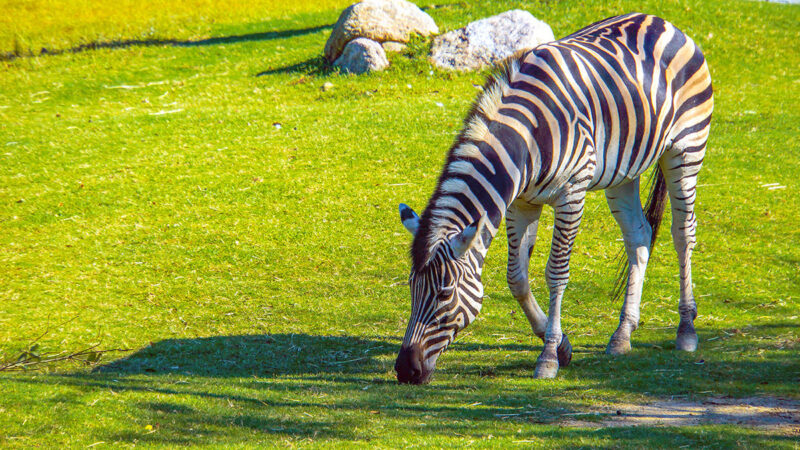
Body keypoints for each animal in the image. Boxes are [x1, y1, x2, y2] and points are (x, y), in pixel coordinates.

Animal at [394, 13, 712, 384]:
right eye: (411, 287)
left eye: (444, 294)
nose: (405, 370)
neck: (526, 139)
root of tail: (660, 21)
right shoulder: (521, 203)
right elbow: (516, 277)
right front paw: (561, 346)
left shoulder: (571, 193)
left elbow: (556, 273)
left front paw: (547, 358)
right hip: (624, 172)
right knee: (639, 236)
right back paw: (623, 334)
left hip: (686, 149)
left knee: (683, 234)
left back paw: (686, 330)